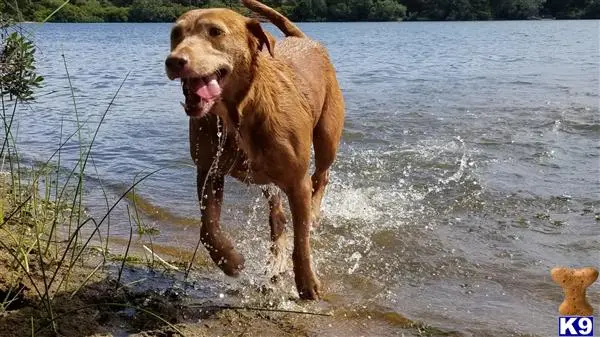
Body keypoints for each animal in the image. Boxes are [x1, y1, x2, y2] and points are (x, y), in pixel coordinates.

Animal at [164, 0, 344, 300]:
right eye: (175, 34)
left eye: (215, 32)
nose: (174, 60)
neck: (239, 112)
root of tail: (303, 39)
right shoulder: (208, 170)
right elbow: (208, 228)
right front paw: (230, 260)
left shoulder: (297, 181)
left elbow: (302, 238)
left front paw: (306, 281)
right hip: (266, 178)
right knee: (277, 216)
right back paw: (275, 258)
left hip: (327, 136)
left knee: (322, 175)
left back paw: (315, 211)